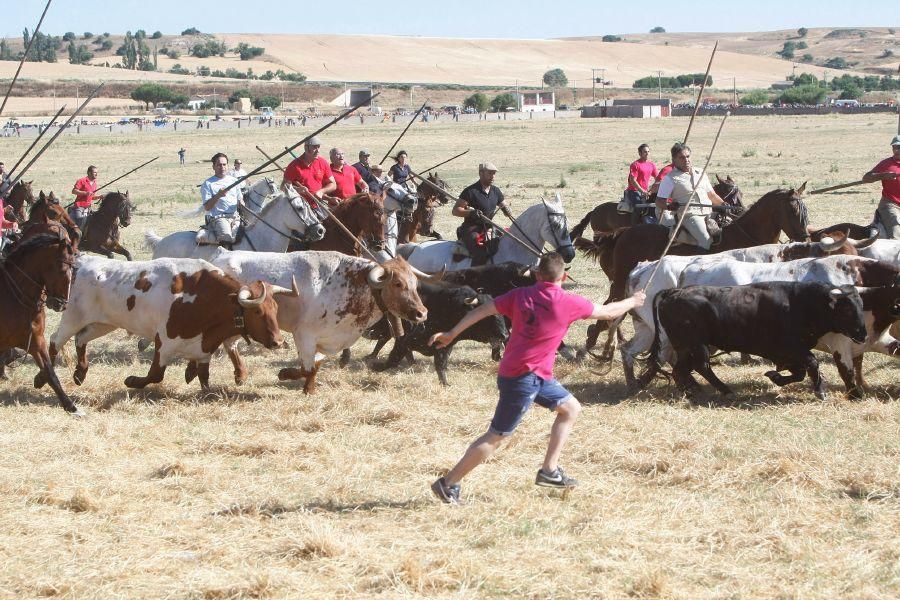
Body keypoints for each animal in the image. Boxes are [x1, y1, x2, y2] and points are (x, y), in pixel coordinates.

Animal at [0, 232, 81, 414]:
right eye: (62, 270)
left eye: (74, 270)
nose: (61, 304)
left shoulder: (36, 340)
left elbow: (50, 372)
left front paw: (70, 406)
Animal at [576, 183, 816, 352]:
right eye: (794, 210)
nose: (805, 239)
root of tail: (622, 233)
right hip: (620, 280)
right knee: (612, 304)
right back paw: (593, 337)